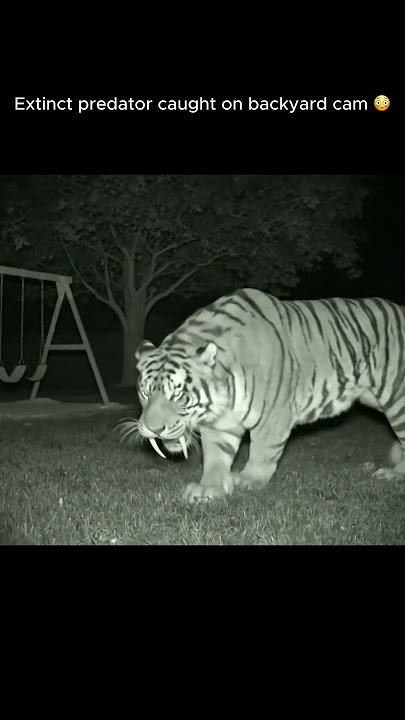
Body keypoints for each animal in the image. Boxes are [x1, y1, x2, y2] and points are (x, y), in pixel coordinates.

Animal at [126, 288, 405, 502]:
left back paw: (395, 474)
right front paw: (208, 488)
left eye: (177, 395)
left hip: (397, 397)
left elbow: (263, 450)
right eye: (145, 393)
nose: (153, 429)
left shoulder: (274, 414)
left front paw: (248, 480)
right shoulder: (219, 422)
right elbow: (216, 455)